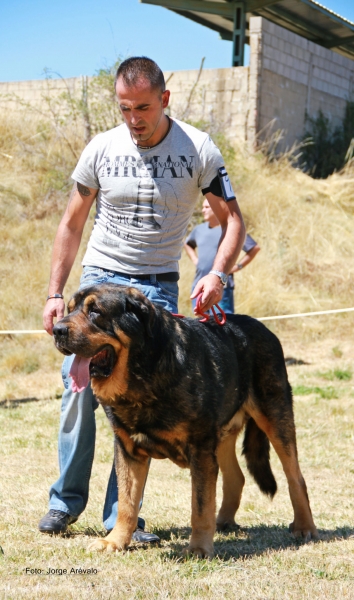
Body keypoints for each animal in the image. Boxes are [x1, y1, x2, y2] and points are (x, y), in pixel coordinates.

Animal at [53, 284, 318, 556]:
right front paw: (115, 541)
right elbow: (126, 502)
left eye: (95, 311)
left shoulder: (200, 449)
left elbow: (199, 506)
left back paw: (304, 527)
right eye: (69, 309)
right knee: (236, 477)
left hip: (275, 417)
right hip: (222, 437)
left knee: (295, 476)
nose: (57, 330)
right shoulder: (128, 449)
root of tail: (265, 329)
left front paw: (199, 549)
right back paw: (223, 522)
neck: (144, 372)